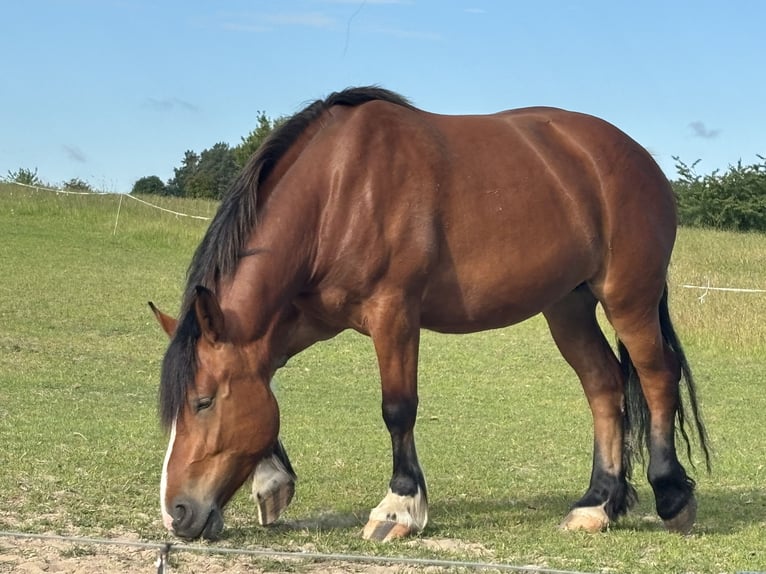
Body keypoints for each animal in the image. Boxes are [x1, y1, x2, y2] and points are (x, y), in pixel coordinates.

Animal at [152, 85, 712, 544]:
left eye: (203, 402)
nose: (176, 513)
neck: (338, 190)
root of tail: (636, 156)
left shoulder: (394, 312)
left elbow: (398, 408)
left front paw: (398, 508)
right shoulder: (304, 319)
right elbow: (264, 384)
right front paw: (272, 481)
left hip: (628, 298)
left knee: (656, 377)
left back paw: (671, 497)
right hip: (568, 307)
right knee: (604, 386)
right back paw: (596, 504)